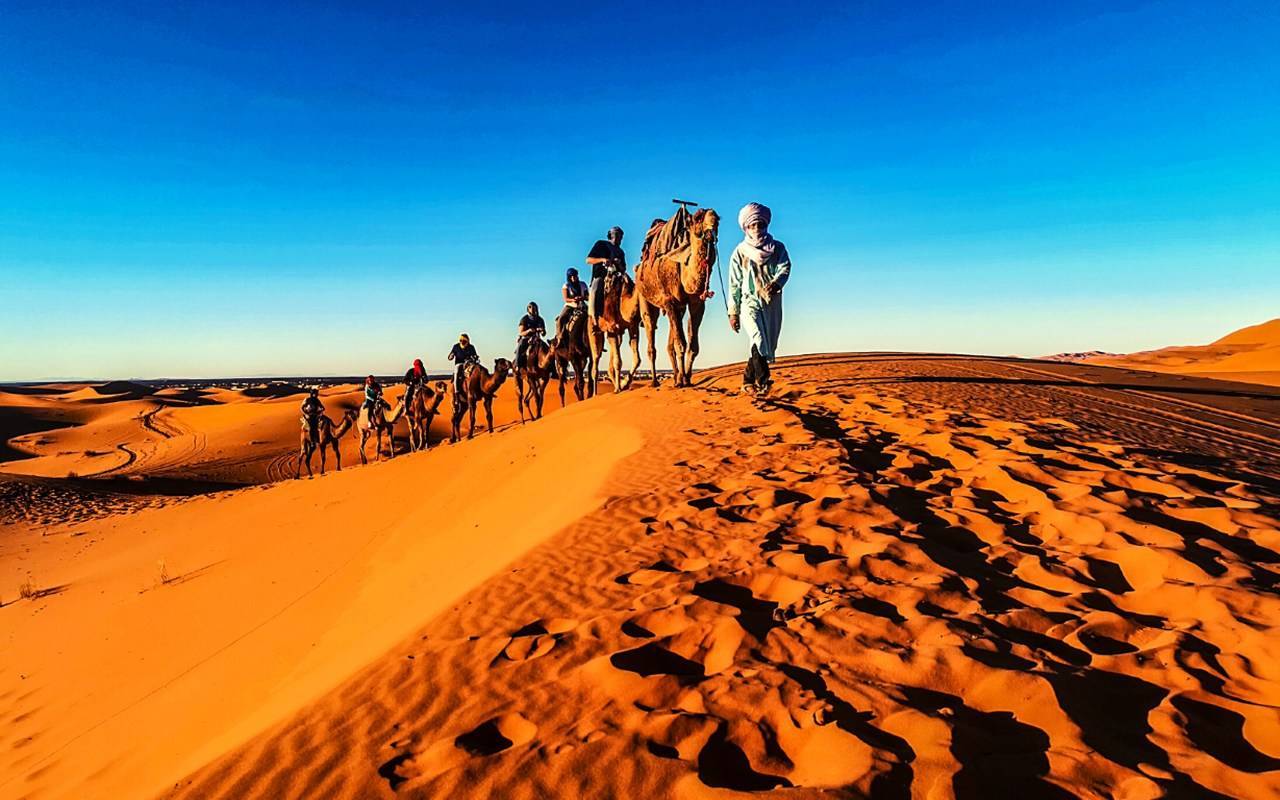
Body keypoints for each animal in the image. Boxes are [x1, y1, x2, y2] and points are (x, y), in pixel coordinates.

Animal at [591, 266, 645, 394]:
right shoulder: (612, 328)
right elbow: (618, 362)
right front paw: (620, 387)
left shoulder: (632, 326)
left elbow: (637, 359)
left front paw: (624, 384)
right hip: (594, 330)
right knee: (596, 359)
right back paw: (595, 394)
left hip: (616, 334)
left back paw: (616, 385)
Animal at [632, 206, 721, 386]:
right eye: (698, 217)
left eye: (718, 219)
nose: (712, 228)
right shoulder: (669, 301)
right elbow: (681, 343)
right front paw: (683, 381)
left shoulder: (696, 304)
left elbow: (692, 346)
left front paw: (686, 378)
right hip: (644, 298)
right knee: (650, 331)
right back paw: (655, 381)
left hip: (678, 308)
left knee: (670, 342)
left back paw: (675, 377)